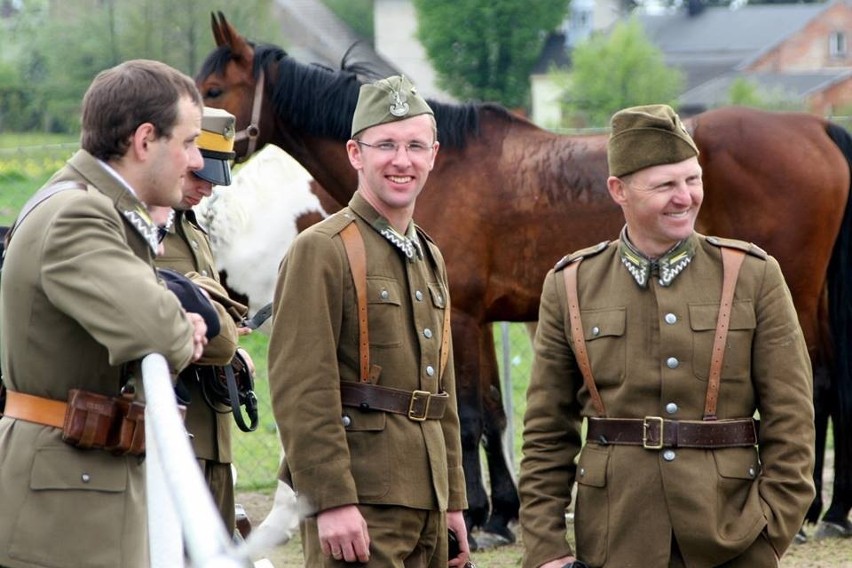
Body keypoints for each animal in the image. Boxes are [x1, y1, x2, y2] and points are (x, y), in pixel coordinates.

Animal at [201, 13, 852, 544]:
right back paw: (830, 511)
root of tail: (815, 129)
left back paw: (812, 511)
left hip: (792, 293)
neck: (444, 165)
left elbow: (467, 415)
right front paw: (502, 511)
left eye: (211, 90)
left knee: (812, 385)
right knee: (826, 384)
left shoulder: (463, 318)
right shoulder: (477, 318)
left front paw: (482, 515)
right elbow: (491, 413)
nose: (203, 164)